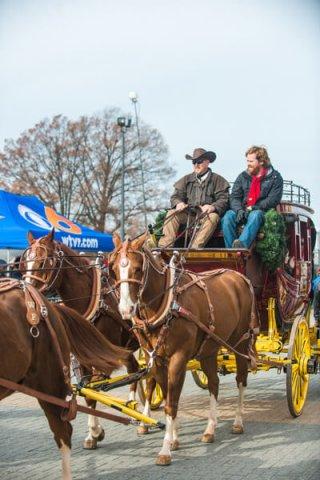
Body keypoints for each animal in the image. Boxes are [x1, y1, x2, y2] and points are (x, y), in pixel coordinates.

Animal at [24, 231, 144, 448]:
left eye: (44, 261)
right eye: (26, 260)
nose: (27, 289)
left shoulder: (104, 357)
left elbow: (94, 387)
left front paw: (95, 430)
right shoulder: (84, 357)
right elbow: (88, 391)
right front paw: (93, 433)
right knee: (135, 370)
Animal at [109, 232, 258, 464]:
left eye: (138, 269)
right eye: (114, 269)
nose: (126, 309)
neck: (167, 304)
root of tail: (239, 277)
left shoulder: (178, 358)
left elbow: (172, 402)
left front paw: (165, 449)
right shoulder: (156, 359)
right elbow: (168, 396)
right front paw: (174, 439)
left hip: (240, 342)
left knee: (241, 379)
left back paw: (237, 422)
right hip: (209, 349)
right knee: (214, 383)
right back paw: (210, 429)